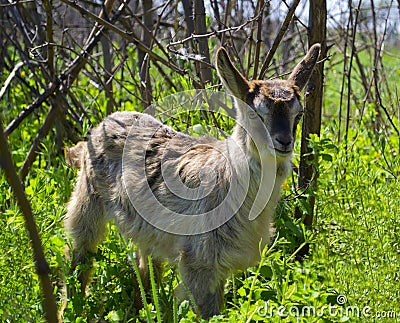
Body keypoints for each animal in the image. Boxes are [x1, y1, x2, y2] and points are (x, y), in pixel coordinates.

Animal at [66, 44, 322, 320]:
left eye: (299, 114)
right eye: (255, 114)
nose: (283, 141)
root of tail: (101, 126)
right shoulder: (198, 263)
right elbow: (208, 313)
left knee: (145, 265)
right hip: (87, 201)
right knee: (79, 253)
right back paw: (72, 307)